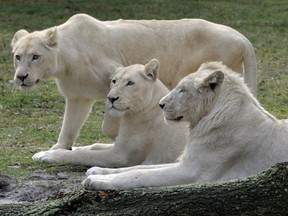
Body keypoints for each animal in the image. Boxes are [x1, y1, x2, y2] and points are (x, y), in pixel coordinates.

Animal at [11, 13, 258, 152]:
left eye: (35, 56)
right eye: (18, 56)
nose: (21, 77)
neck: (64, 60)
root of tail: (243, 38)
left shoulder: (116, 77)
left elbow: (111, 116)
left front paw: (115, 135)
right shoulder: (78, 97)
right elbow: (69, 125)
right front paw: (60, 148)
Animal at [32, 59, 188, 167]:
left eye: (130, 83)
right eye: (114, 81)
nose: (111, 98)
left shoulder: (121, 156)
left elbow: (84, 155)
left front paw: (48, 155)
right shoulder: (118, 146)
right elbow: (94, 146)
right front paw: (72, 147)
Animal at [82, 61, 288, 190]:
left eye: (182, 90)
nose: (161, 104)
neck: (201, 122)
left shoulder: (194, 172)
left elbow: (140, 175)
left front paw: (96, 180)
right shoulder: (185, 161)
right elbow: (136, 168)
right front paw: (97, 171)